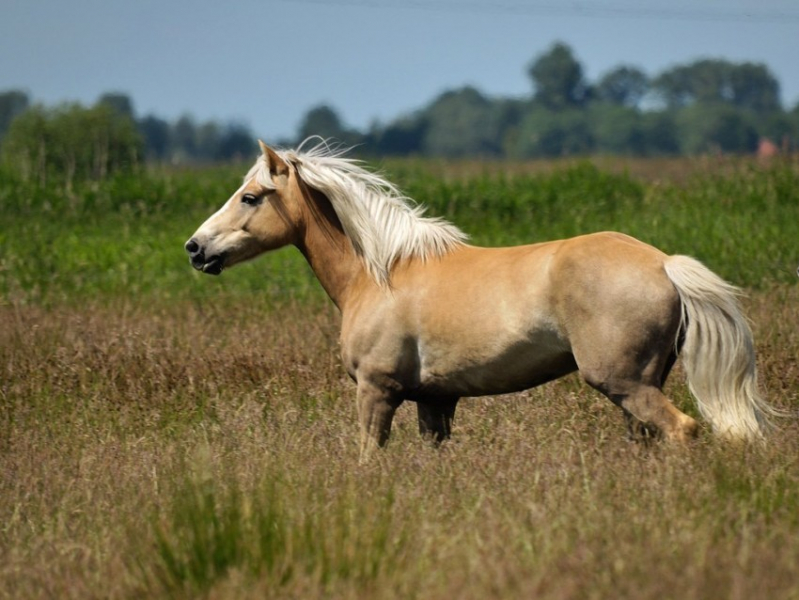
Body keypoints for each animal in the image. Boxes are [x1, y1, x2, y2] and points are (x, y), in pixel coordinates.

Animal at [184, 141, 780, 460]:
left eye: (250, 197)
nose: (195, 248)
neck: (381, 273)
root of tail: (662, 263)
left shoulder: (376, 392)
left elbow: (368, 457)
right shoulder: (435, 401)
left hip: (623, 382)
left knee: (682, 430)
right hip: (641, 384)